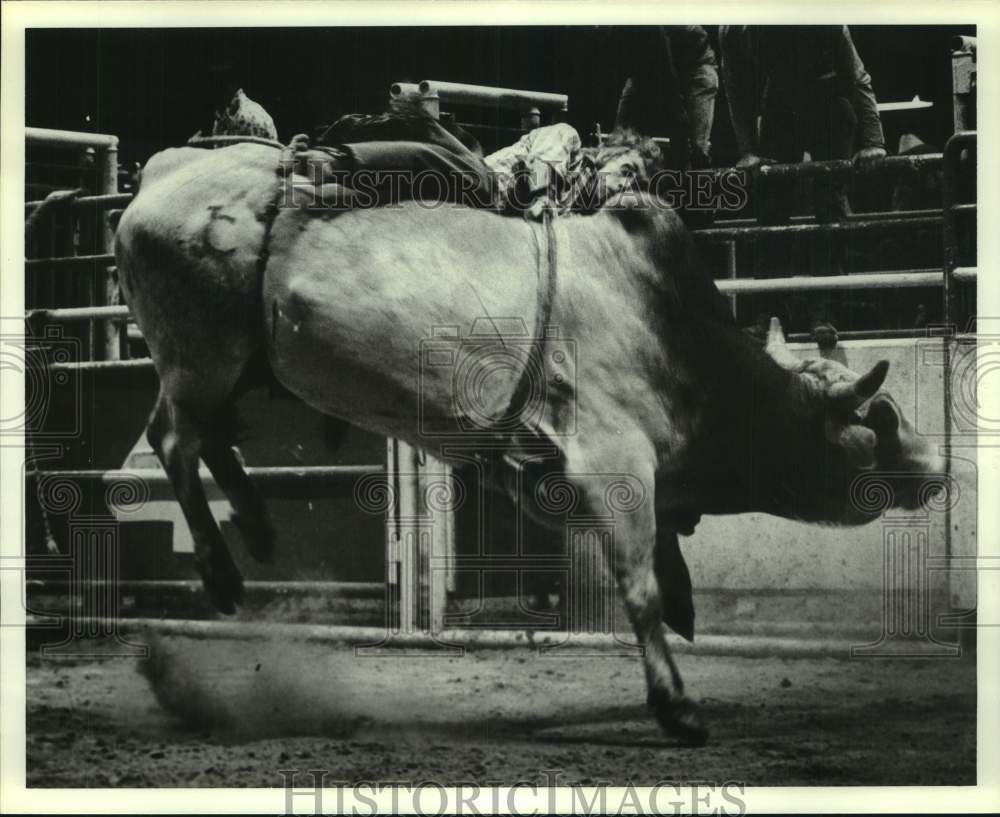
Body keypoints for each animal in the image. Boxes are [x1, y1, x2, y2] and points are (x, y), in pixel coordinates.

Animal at [115, 141, 943, 745]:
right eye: (882, 417)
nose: (937, 470)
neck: (674, 339)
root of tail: (165, 173)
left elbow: (663, 560)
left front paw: (683, 607)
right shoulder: (613, 463)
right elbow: (638, 582)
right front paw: (676, 705)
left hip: (234, 366)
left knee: (202, 437)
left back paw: (255, 526)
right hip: (203, 354)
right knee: (175, 440)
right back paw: (222, 572)